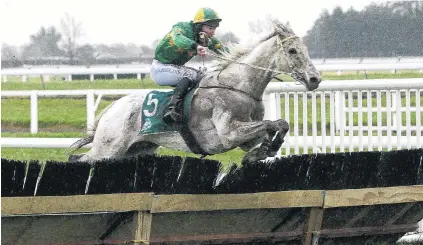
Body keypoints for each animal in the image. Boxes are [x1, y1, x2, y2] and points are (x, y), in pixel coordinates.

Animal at [69, 20, 322, 164]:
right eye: (293, 50)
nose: (315, 79)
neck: (238, 87)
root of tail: (112, 108)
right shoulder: (228, 134)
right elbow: (273, 123)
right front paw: (262, 152)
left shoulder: (245, 137)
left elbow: (278, 125)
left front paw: (263, 151)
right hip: (108, 148)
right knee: (79, 159)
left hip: (136, 149)